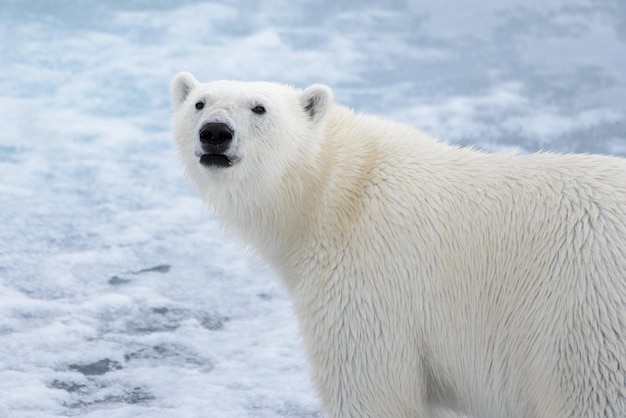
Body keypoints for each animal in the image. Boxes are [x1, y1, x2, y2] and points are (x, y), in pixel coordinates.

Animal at [168, 70, 624, 416]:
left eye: (259, 107)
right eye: (200, 103)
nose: (215, 133)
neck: (334, 196)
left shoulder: (367, 288)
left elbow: (371, 391)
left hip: (584, 326)